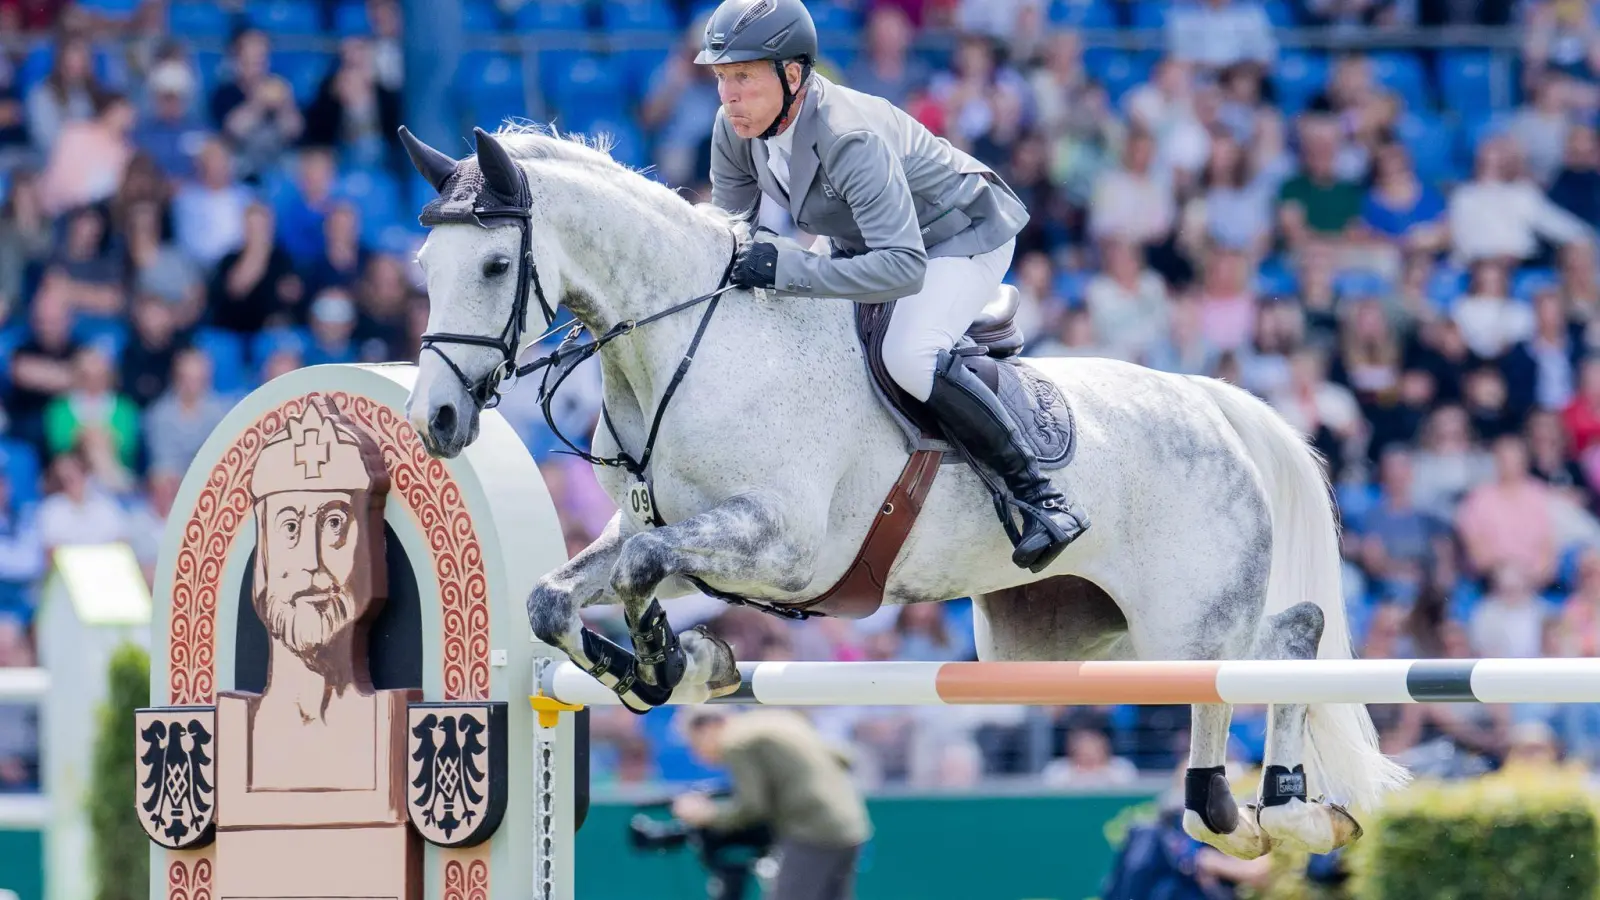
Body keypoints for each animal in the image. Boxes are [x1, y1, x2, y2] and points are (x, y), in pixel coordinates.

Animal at [400, 122, 1414, 858]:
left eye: (494, 265)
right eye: (423, 269)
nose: (436, 421)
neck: (687, 347)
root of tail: (1211, 401)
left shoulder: (784, 547)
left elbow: (643, 566)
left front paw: (666, 656)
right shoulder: (689, 538)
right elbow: (559, 595)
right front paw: (671, 663)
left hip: (1183, 622)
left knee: (1278, 649)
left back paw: (1272, 813)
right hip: (1060, 641)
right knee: (1249, 669)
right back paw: (1264, 812)